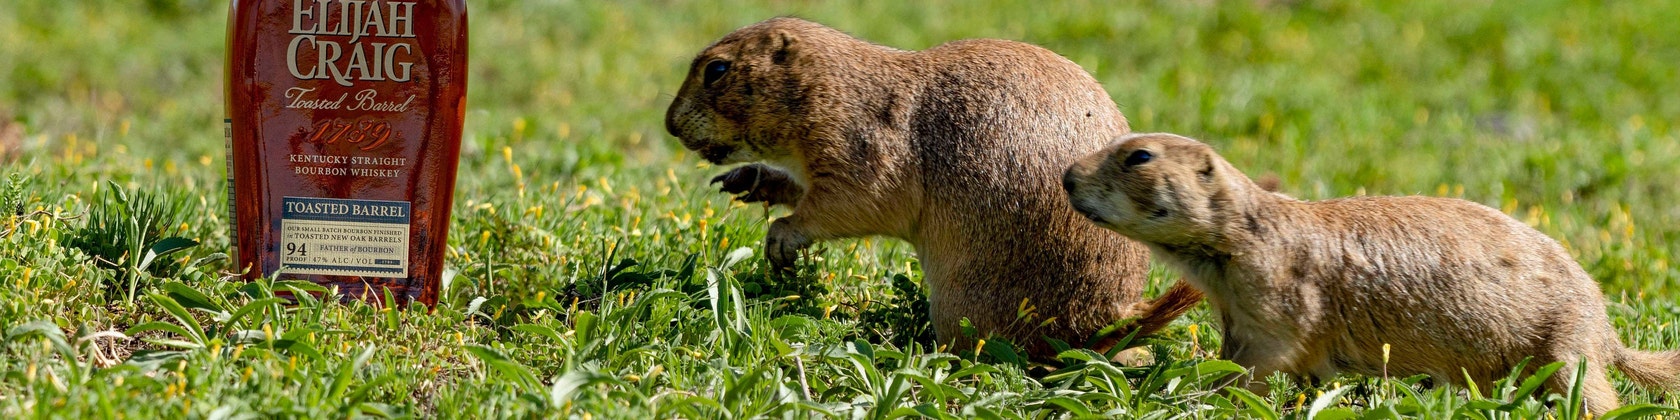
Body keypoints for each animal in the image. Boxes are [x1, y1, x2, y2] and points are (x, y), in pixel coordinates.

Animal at [664, 17, 1202, 359]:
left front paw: (782, 236)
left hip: (964, 304)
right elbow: (802, 188)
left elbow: (850, 202)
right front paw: (748, 181)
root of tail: (1112, 316)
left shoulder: (861, 145)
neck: (836, 89)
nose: (669, 124)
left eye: (716, 69)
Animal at [1062, 132, 1680, 414]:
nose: (1067, 175)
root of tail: (1606, 330)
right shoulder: (1234, 307)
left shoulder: (1274, 296)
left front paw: (1210, 398)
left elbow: (1260, 361)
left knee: (1595, 396)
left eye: (1139, 156)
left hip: (1565, 347)